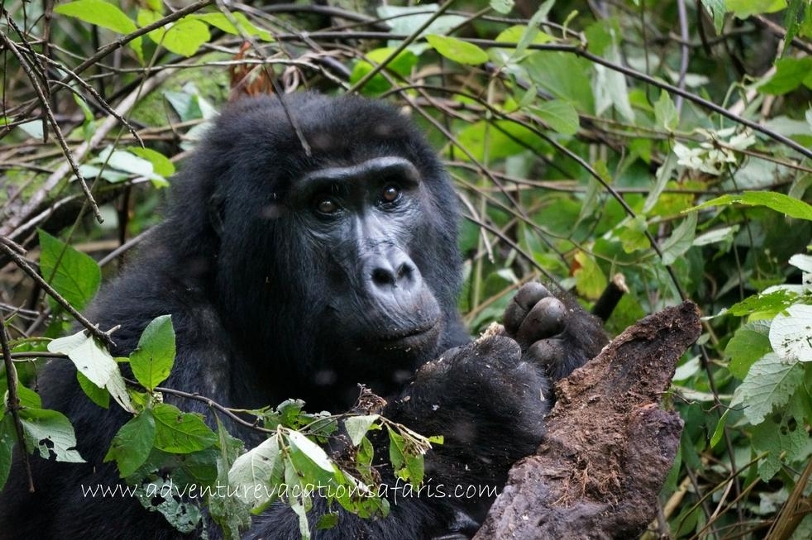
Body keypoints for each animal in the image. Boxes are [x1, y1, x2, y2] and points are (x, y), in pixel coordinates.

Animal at [0, 95, 608, 536]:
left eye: (391, 193)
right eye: (326, 206)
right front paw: (469, 410)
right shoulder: (141, 349)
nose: (391, 270)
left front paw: (561, 343)